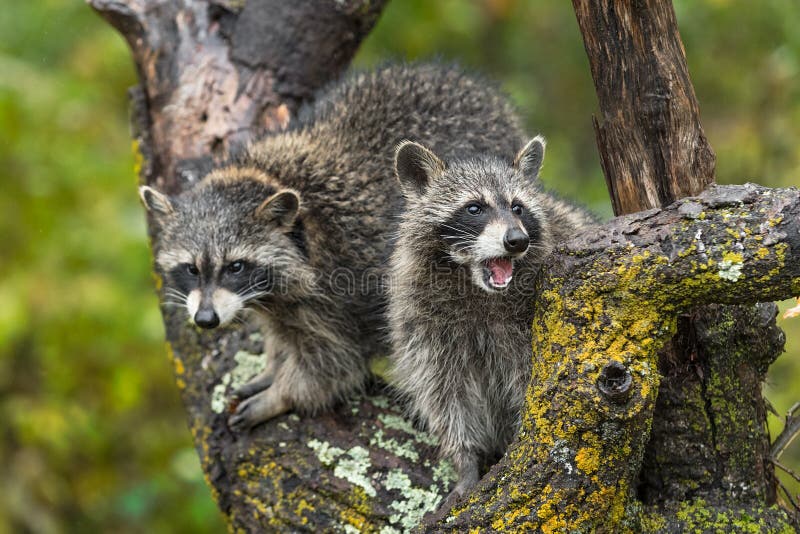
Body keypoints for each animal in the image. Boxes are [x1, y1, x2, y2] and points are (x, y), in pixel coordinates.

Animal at [138, 63, 528, 436]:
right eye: (191, 269)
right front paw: (274, 363)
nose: (205, 320)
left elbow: (335, 362)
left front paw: (282, 393)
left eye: (235, 266)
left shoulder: (342, 283)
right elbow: (283, 332)